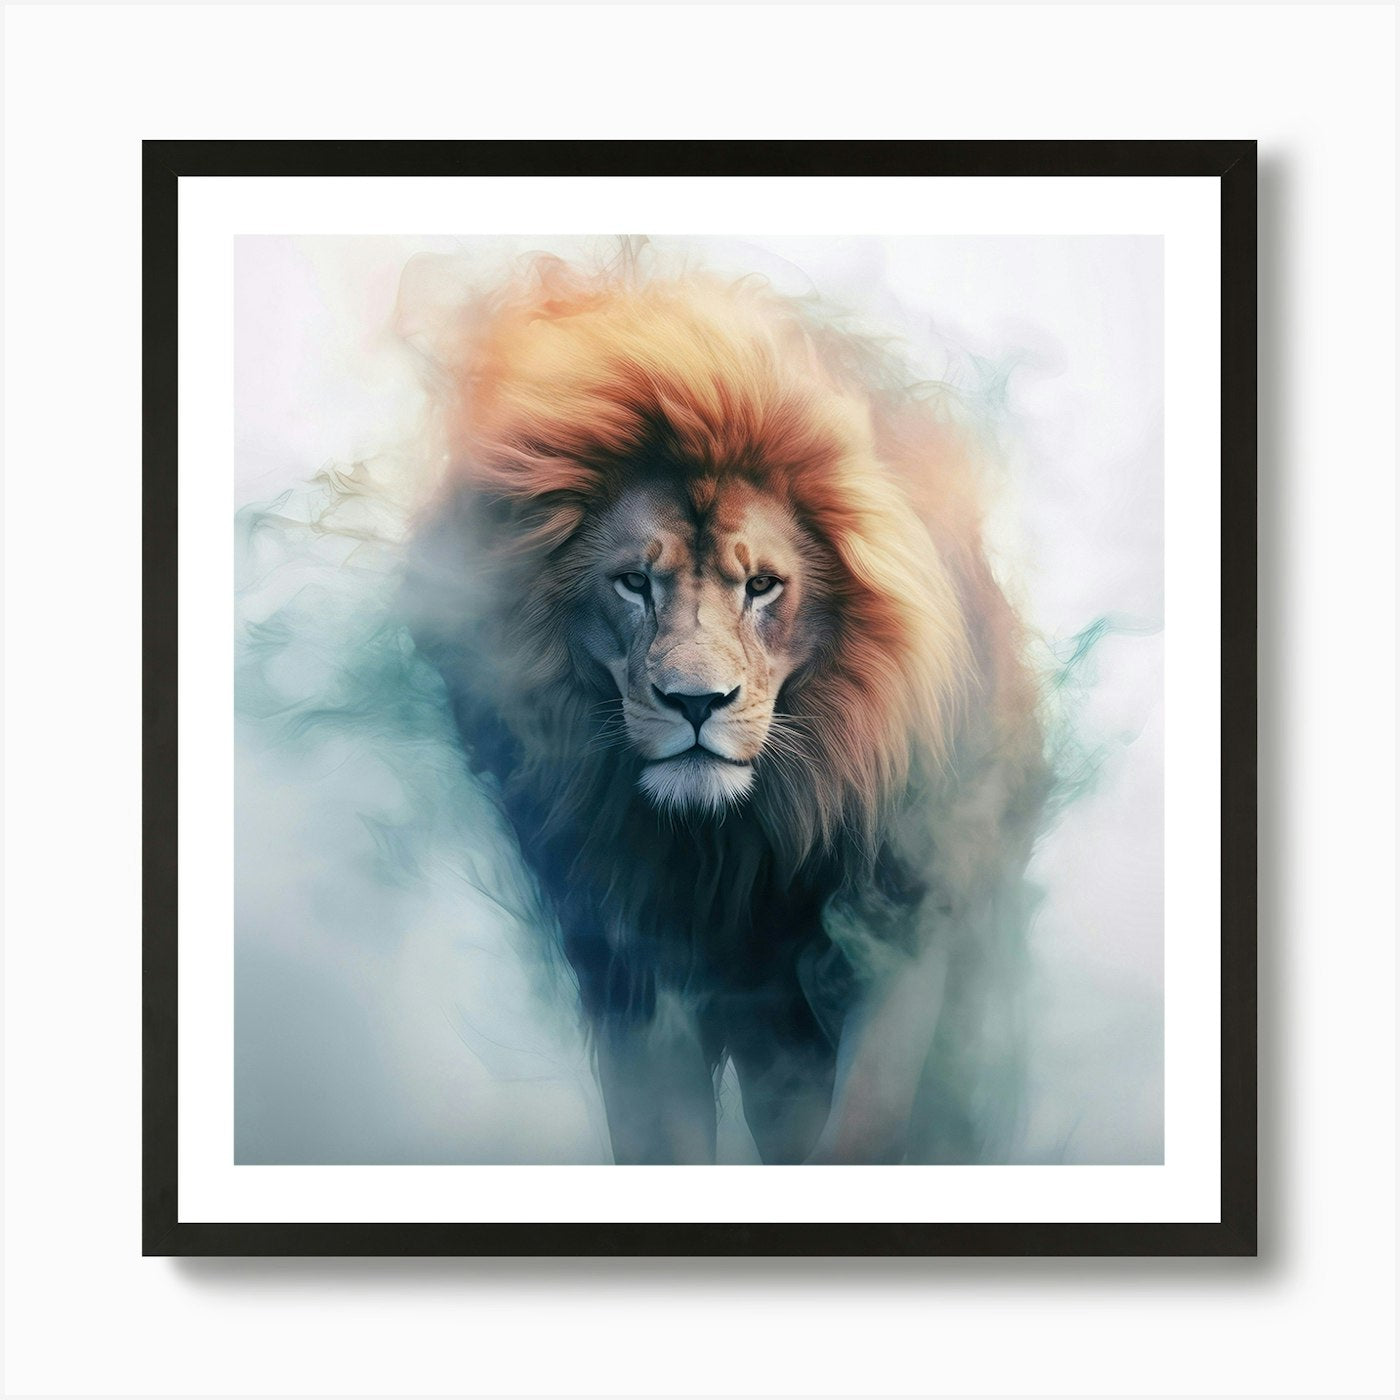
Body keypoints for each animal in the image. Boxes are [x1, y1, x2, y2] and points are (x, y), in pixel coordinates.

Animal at [401, 255, 1048, 1164]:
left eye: (763, 585)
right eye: (634, 582)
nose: (696, 702)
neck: (733, 849)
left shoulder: (900, 926)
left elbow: (868, 1125)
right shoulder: (633, 970)